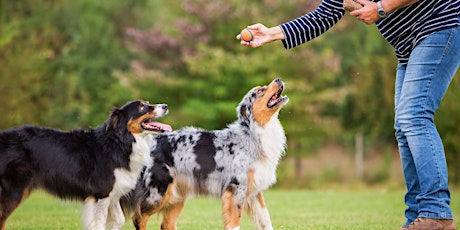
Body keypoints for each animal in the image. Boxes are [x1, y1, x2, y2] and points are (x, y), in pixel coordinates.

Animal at [0, 99, 171, 229]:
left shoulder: (113, 193)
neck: (120, 142)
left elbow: (118, 220)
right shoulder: (101, 194)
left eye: (147, 103)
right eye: (142, 106)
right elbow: (99, 224)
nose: (165, 106)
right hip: (13, 192)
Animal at [121, 78, 288, 229]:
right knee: (139, 217)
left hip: (177, 195)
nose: (278, 79)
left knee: (166, 224)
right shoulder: (236, 189)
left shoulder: (254, 192)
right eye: (259, 91)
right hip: (158, 192)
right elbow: (235, 222)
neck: (253, 133)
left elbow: (266, 221)